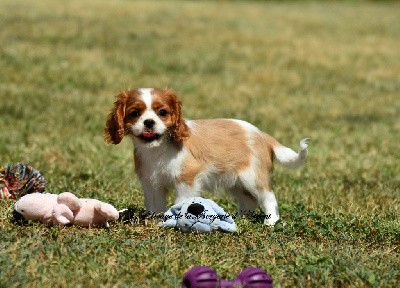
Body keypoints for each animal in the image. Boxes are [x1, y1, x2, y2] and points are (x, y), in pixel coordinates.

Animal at [104, 88, 308, 225]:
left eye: (162, 113)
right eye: (134, 113)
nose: (148, 122)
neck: (157, 149)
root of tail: (262, 135)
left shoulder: (187, 180)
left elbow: (181, 202)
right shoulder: (151, 184)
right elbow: (155, 205)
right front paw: (156, 221)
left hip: (251, 177)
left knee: (268, 197)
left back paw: (270, 222)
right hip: (236, 182)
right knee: (248, 199)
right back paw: (239, 218)